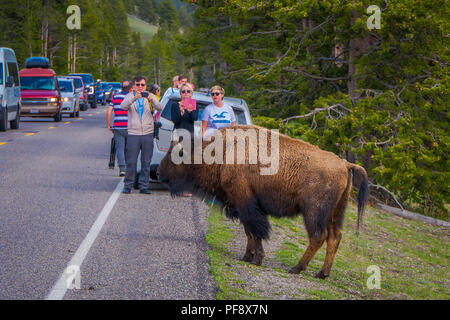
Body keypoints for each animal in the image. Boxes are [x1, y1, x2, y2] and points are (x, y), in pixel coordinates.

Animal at [156, 124, 368, 278]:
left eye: (176, 155)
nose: (158, 172)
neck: (222, 151)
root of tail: (345, 164)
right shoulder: (241, 205)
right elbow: (249, 231)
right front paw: (246, 257)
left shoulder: (246, 202)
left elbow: (256, 231)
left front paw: (257, 259)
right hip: (336, 213)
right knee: (334, 238)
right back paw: (322, 273)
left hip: (313, 212)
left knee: (318, 236)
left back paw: (296, 268)